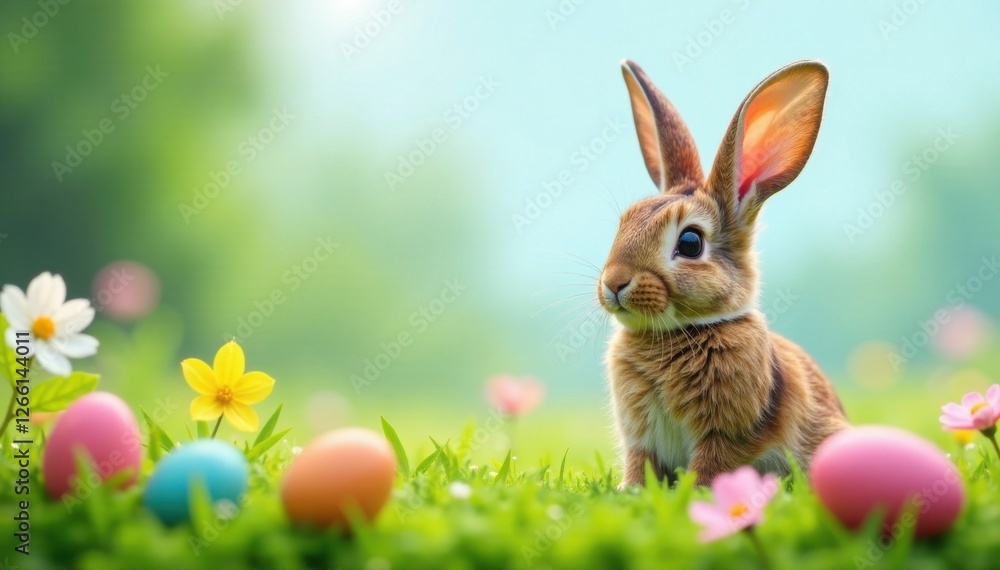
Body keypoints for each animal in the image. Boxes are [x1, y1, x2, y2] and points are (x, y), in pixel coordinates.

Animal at [599, 59, 850, 488]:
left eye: (690, 243)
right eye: (624, 223)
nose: (614, 283)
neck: (679, 332)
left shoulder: (727, 435)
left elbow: (711, 465)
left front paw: (696, 490)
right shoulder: (641, 441)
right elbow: (639, 464)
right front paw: (630, 489)